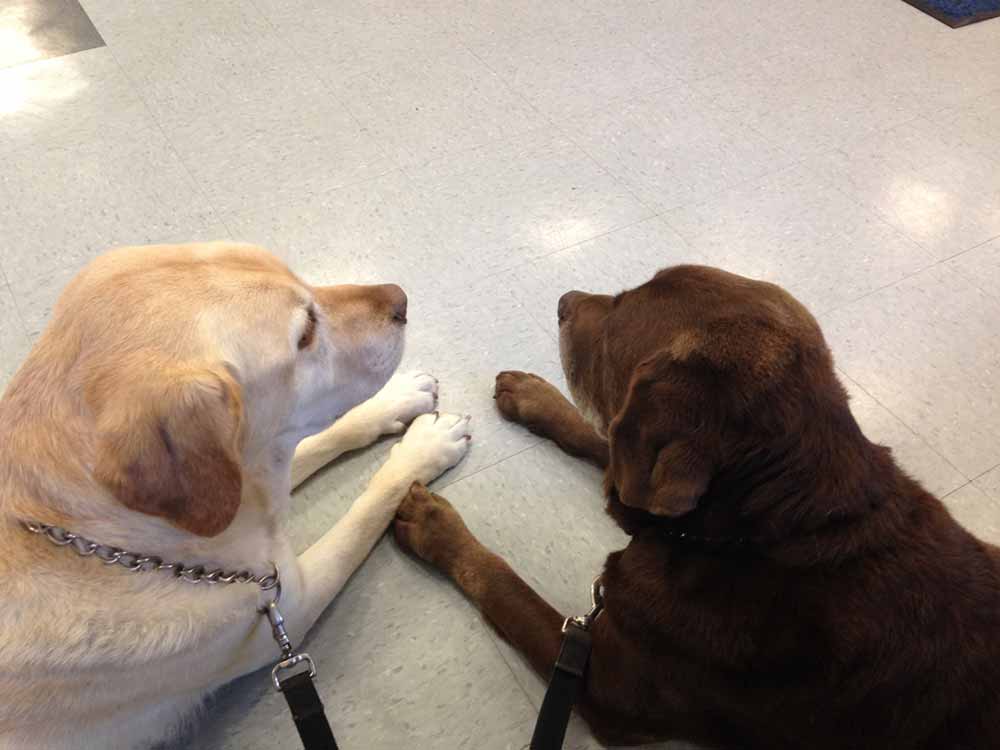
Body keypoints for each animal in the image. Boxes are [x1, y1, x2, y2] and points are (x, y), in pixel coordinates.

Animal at [0, 244, 472, 748]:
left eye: (300, 279)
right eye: (305, 333)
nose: (401, 299)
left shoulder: (252, 477)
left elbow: (320, 437)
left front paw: (394, 401)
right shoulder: (291, 604)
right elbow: (368, 508)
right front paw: (425, 449)